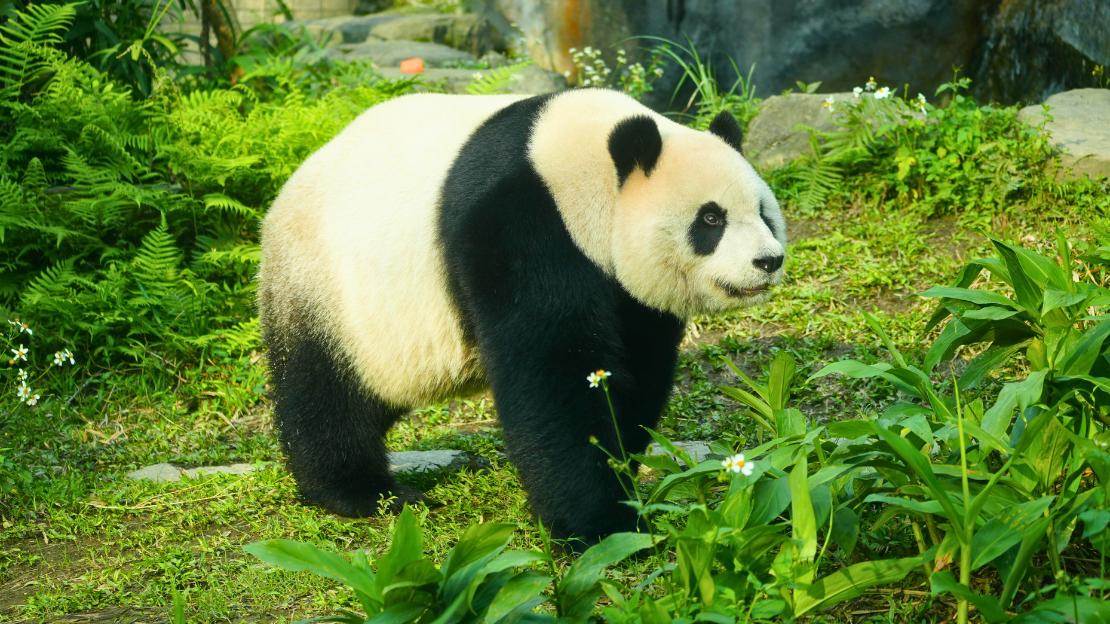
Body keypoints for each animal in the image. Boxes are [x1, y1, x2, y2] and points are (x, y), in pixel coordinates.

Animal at [258, 88, 786, 542]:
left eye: (763, 211)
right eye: (711, 219)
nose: (768, 260)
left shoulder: (627, 288)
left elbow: (635, 364)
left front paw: (622, 467)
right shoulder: (520, 222)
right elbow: (553, 369)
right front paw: (599, 523)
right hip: (329, 289)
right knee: (325, 393)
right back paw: (361, 491)